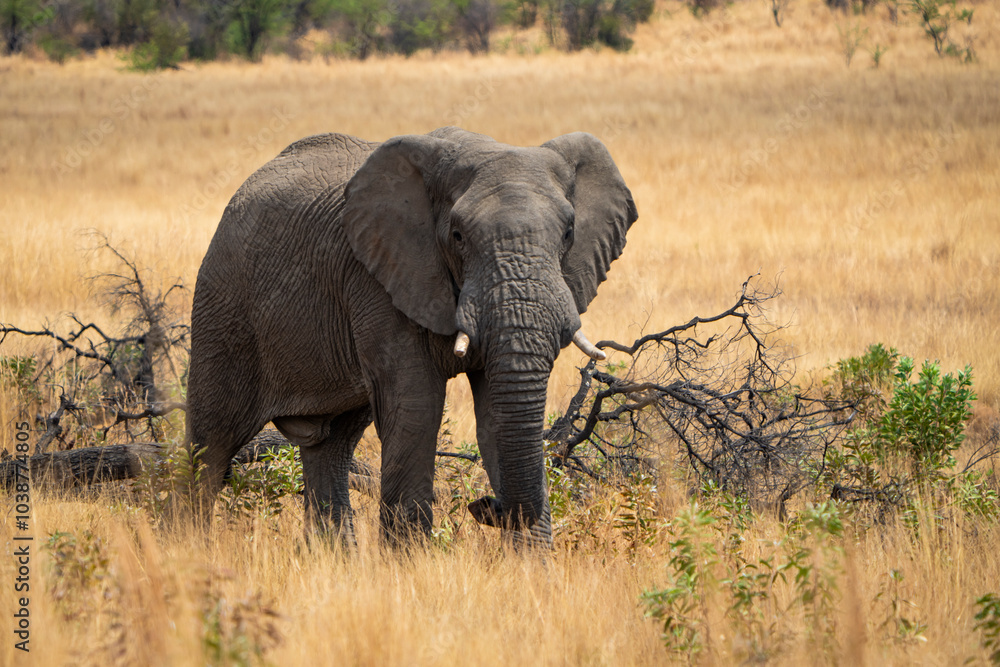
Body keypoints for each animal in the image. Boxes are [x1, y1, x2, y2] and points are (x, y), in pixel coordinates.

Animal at [186, 127, 638, 548]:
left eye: (569, 233)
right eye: (457, 236)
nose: (483, 504)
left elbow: (496, 416)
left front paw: (533, 569)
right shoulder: (379, 279)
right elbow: (416, 408)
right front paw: (411, 567)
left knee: (331, 447)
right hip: (224, 304)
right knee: (210, 446)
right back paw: (189, 550)